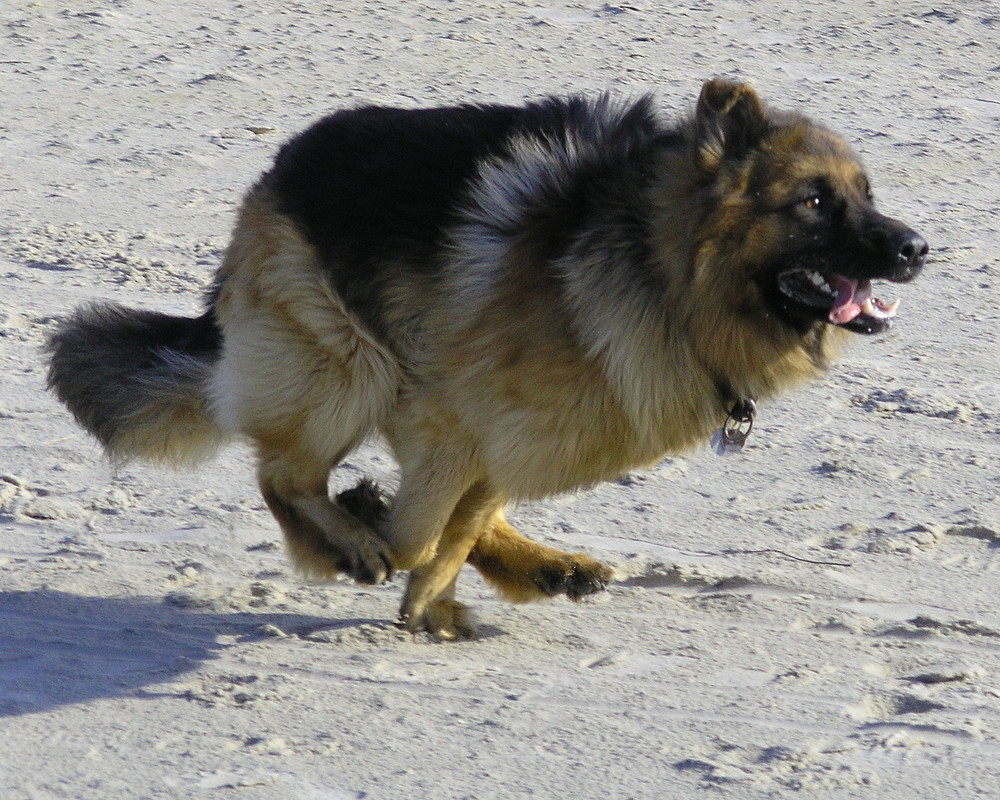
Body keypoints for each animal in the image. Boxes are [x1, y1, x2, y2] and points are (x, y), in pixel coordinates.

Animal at [45, 79, 920, 636]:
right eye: (814, 202)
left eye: (867, 195)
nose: (918, 248)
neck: (656, 266)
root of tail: (275, 173)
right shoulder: (446, 417)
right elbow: (419, 535)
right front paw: (367, 541)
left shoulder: (496, 430)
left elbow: (454, 532)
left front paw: (426, 602)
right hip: (348, 367)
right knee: (284, 476)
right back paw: (349, 534)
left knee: (453, 505)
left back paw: (539, 566)